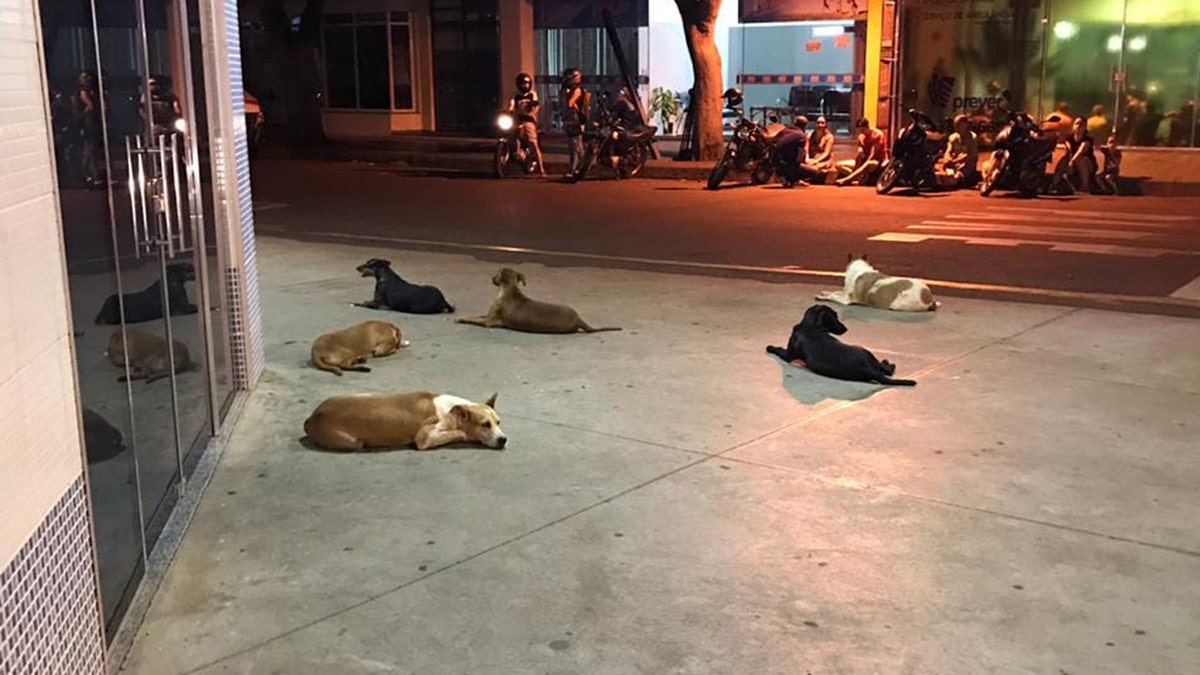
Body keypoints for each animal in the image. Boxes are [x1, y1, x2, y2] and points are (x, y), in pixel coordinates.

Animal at [304, 391, 506, 449]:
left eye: (498, 422)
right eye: (485, 425)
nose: (504, 439)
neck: (453, 412)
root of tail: (311, 417)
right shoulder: (425, 438)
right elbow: (459, 432)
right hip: (354, 442)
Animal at [456, 265, 619, 333]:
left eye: (496, 274)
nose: (491, 279)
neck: (509, 289)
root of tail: (579, 320)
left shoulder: (488, 321)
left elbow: (474, 320)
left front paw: (462, 319)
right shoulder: (487, 315)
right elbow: (475, 315)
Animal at [768, 303, 916, 384]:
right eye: (835, 316)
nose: (846, 328)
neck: (811, 326)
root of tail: (868, 369)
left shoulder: (788, 355)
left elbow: (779, 350)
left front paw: (770, 347)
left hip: (865, 351)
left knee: (886, 369)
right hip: (867, 354)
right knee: (887, 370)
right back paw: (888, 363)